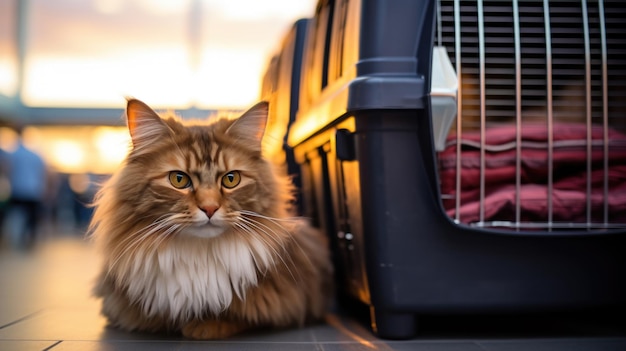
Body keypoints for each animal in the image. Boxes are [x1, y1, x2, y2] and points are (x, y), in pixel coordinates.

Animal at [89, 99, 332, 340]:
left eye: (231, 179)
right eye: (178, 180)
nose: (210, 208)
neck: (200, 254)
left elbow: (239, 317)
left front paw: (206, 326)